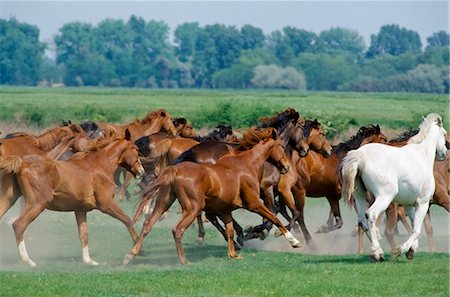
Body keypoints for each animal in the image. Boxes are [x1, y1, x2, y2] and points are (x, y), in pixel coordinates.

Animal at [0, 130, 144, 266]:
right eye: (136, 149)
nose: (141, 172)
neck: (99, 166)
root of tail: (21, 163)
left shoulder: (80, 210)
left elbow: (84, 234)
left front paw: (88, 261)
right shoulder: (106, 205)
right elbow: (127, 220)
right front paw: (137, 250)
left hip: (9, 200)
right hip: (37, 204)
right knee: (19, 225)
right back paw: (28, 261)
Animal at [122, 127, 298, 264]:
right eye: (281, 146)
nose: (286, 167)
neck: (247, 164)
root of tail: (173, 170)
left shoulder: (225, 209)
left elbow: (230, 230)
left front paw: (233, 252)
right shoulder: (255, 203)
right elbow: (274, 217)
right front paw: (292, 241)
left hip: (164, 202)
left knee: (148, 224)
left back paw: (131, 254)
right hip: (192, 208)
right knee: (178, 229)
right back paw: (184, 260)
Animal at [342, 112, 446, 260]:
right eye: (444, 133)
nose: (444, 153)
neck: (422, 154)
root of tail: (360, 156)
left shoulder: (409, 204)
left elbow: (413, 226)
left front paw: (411, 250)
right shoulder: (423, 202)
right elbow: (416, 230)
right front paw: (401, 249)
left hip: (360, 197)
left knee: (362, 220)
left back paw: (377, 250)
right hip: (384, 197)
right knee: (371, 215)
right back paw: (377, 253)